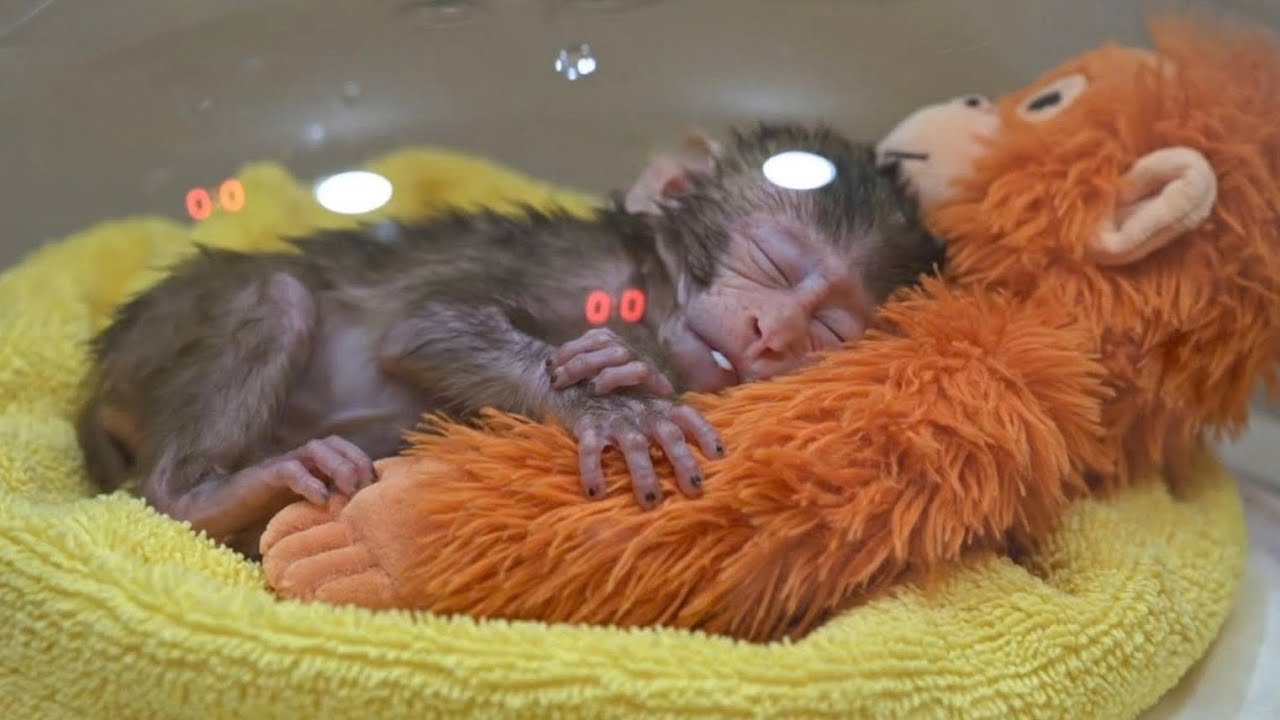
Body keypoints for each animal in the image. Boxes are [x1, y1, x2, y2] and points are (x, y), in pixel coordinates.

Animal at [75, 122, 946, 558]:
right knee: (276, 297)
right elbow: (423, 326)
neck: (653, 292)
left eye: (827, 329)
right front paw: (614, 407)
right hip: (162, 331)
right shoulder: (580, 265)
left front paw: (627, 371)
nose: (773, 334)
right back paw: (198, 491)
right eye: (773, 262)